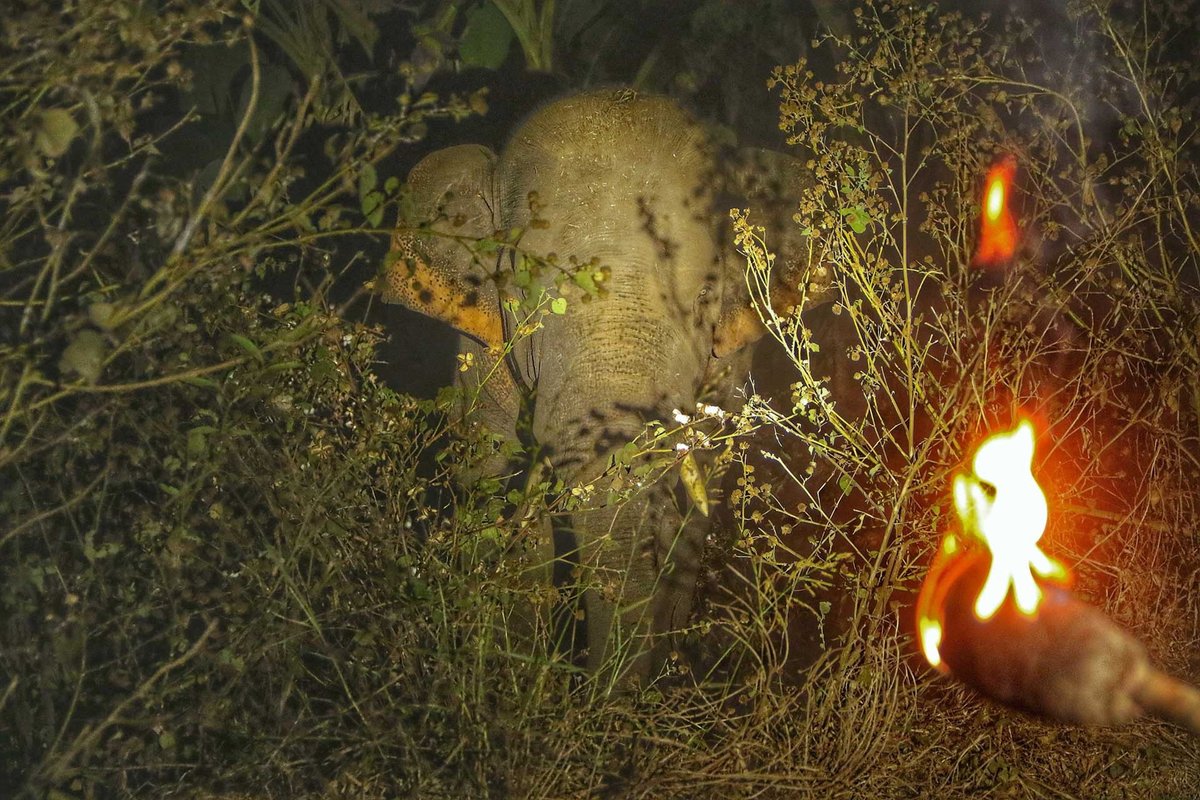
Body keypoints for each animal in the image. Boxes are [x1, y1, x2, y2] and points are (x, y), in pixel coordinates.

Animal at [380, 89, 831, 685]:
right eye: (525, 293)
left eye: (706, 296)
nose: (589, 689)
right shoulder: (483, 354)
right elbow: (492, 478)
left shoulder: (725, 365)